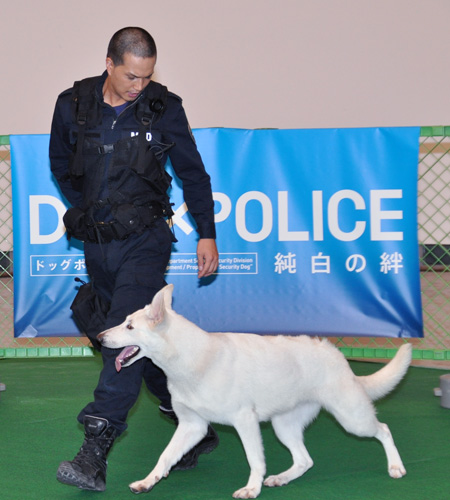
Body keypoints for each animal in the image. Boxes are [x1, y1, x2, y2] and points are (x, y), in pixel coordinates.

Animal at [98, 284, 412, 498]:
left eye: (129, 326)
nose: (99, 337)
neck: (192, 361)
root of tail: (339, 358)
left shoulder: (244, 421)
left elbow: (254, 460)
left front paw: (251, 489)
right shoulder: (191, 426)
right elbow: (164, 456)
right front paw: (147, 481)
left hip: (352, 419)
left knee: (383, 430)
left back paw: (396, 468)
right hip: (284, 426)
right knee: (305, 460)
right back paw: (281, 479)